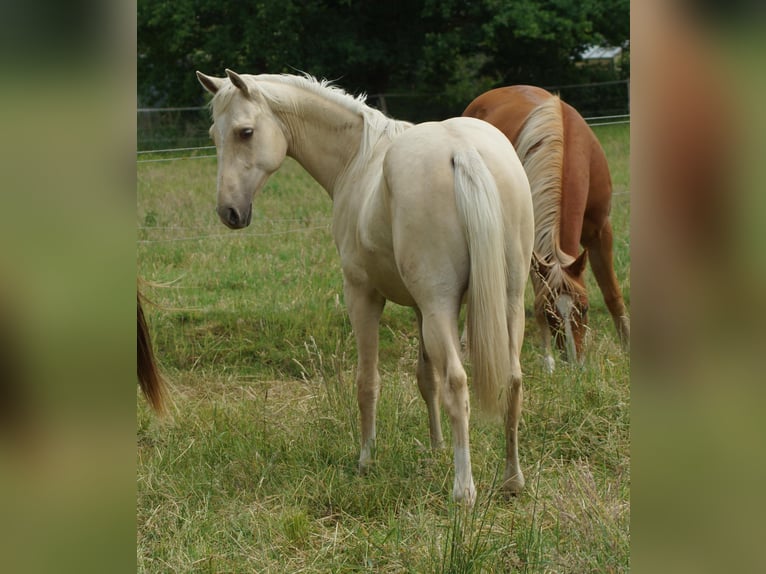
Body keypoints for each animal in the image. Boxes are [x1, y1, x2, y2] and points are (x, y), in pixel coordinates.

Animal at [196, 69, 534, 505]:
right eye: (213, 134)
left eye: (245, 132)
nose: (229, 212)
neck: (358, 161)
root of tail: (462, 150)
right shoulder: (419, 310)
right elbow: (426, 378)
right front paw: (436, 448)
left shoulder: (363, 296)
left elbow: (367, 382)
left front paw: (365, 460)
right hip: (506, 303)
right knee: (512, 380)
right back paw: (512, 480)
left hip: (441, 307)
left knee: (459, 382)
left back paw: (464, 491)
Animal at [463, 86, 630, 372]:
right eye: (552, 315)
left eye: (584, 308)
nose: (574, 365)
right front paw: (548, 361)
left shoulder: (600, 231)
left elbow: (612, 294)